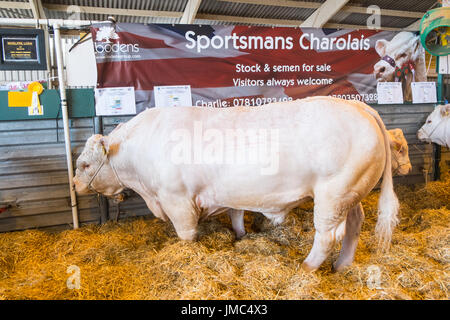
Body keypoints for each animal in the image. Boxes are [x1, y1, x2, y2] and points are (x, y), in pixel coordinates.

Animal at [74, 96, 400, 272]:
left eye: (85, 165)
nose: (75, 185)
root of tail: (357, 106)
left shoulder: (176, 200)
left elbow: (186, 235)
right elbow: (236, 214)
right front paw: (241, 236)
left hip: (333, 195)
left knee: (328, 236)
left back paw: (307, 267)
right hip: (351, 193)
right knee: (356, 223)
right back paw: (342, 265)